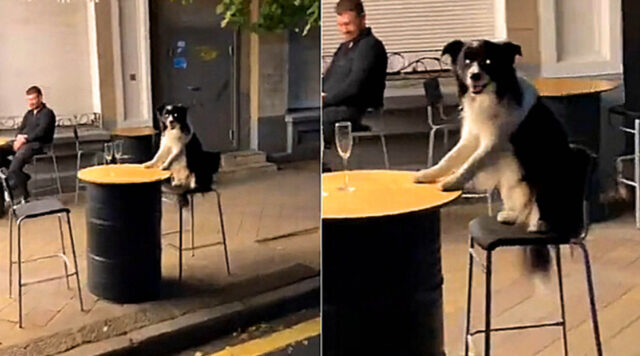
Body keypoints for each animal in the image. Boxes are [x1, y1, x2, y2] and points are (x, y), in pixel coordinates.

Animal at [416, 39, 584, 272]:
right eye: (466, 61)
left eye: (488, 61)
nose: (474, 76)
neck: (492, 96)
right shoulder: (472, 136)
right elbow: (450, 158)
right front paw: (428, 174)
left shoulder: (494, 142)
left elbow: (471, 163)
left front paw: (451, 182)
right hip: (511, 181)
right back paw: (513, 214)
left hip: (547, 176)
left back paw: (540, 223)